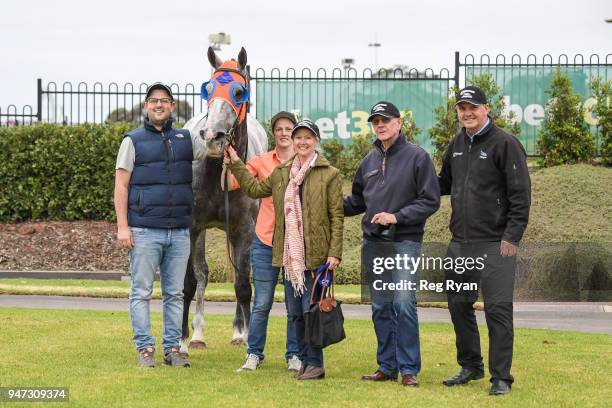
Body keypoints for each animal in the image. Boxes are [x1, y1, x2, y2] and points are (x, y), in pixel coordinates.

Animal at [182, 45, 268, 350]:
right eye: (207, 89)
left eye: (239, 92)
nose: (212, 136)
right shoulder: (193, 227)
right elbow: (191, 281)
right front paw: (182, 341)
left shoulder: (244, 228)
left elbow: (243, 284)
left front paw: (247, 337)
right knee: (202, 273)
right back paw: (196, 334)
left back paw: (239, 331)